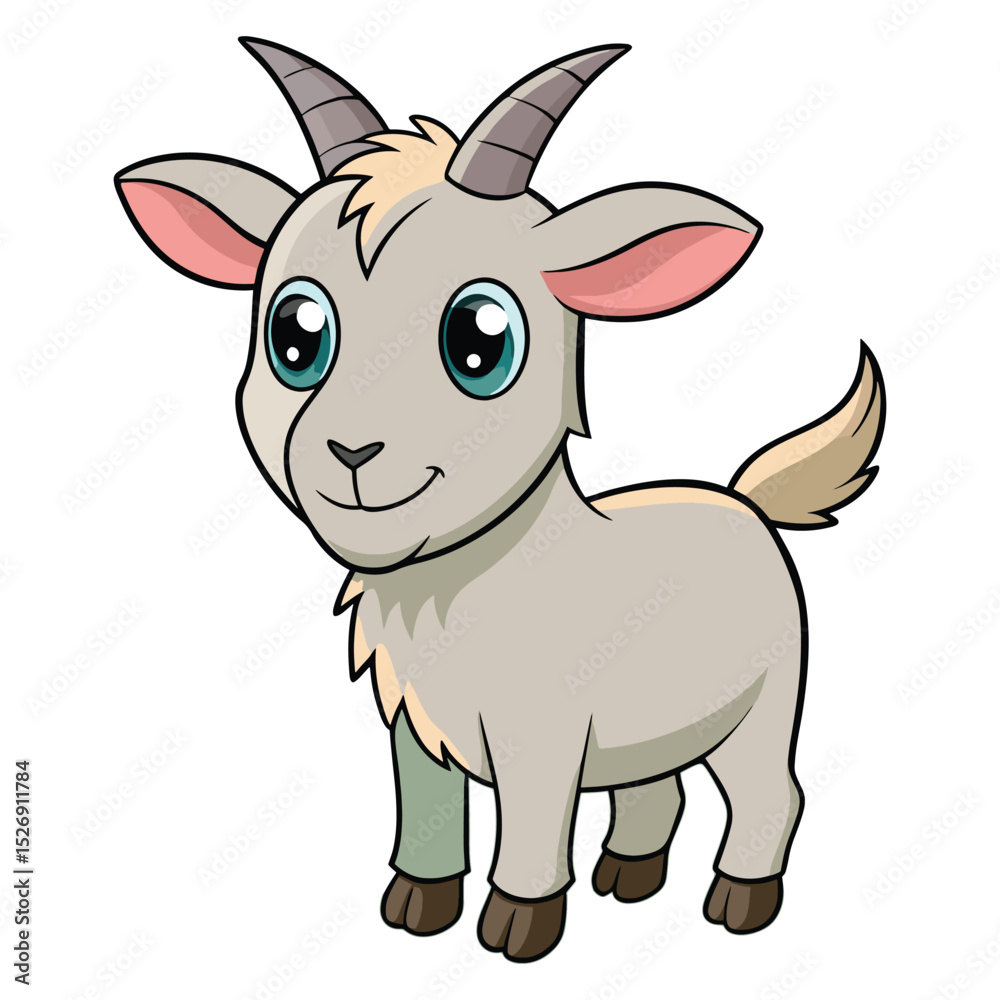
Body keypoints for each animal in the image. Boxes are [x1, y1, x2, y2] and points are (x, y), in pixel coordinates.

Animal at [115, 38, 885, 962]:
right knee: (655, 789)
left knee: (774, 793)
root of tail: (744, 501)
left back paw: (740, 901)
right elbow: (427, 816)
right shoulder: (416, 729)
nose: (352, 452)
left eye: (481, 341)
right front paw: (416, 909)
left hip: (762, 706)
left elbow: (530, 830)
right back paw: (629, 878)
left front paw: (518, 930)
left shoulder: (542, 736)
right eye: (295, 335)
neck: (468, 591)